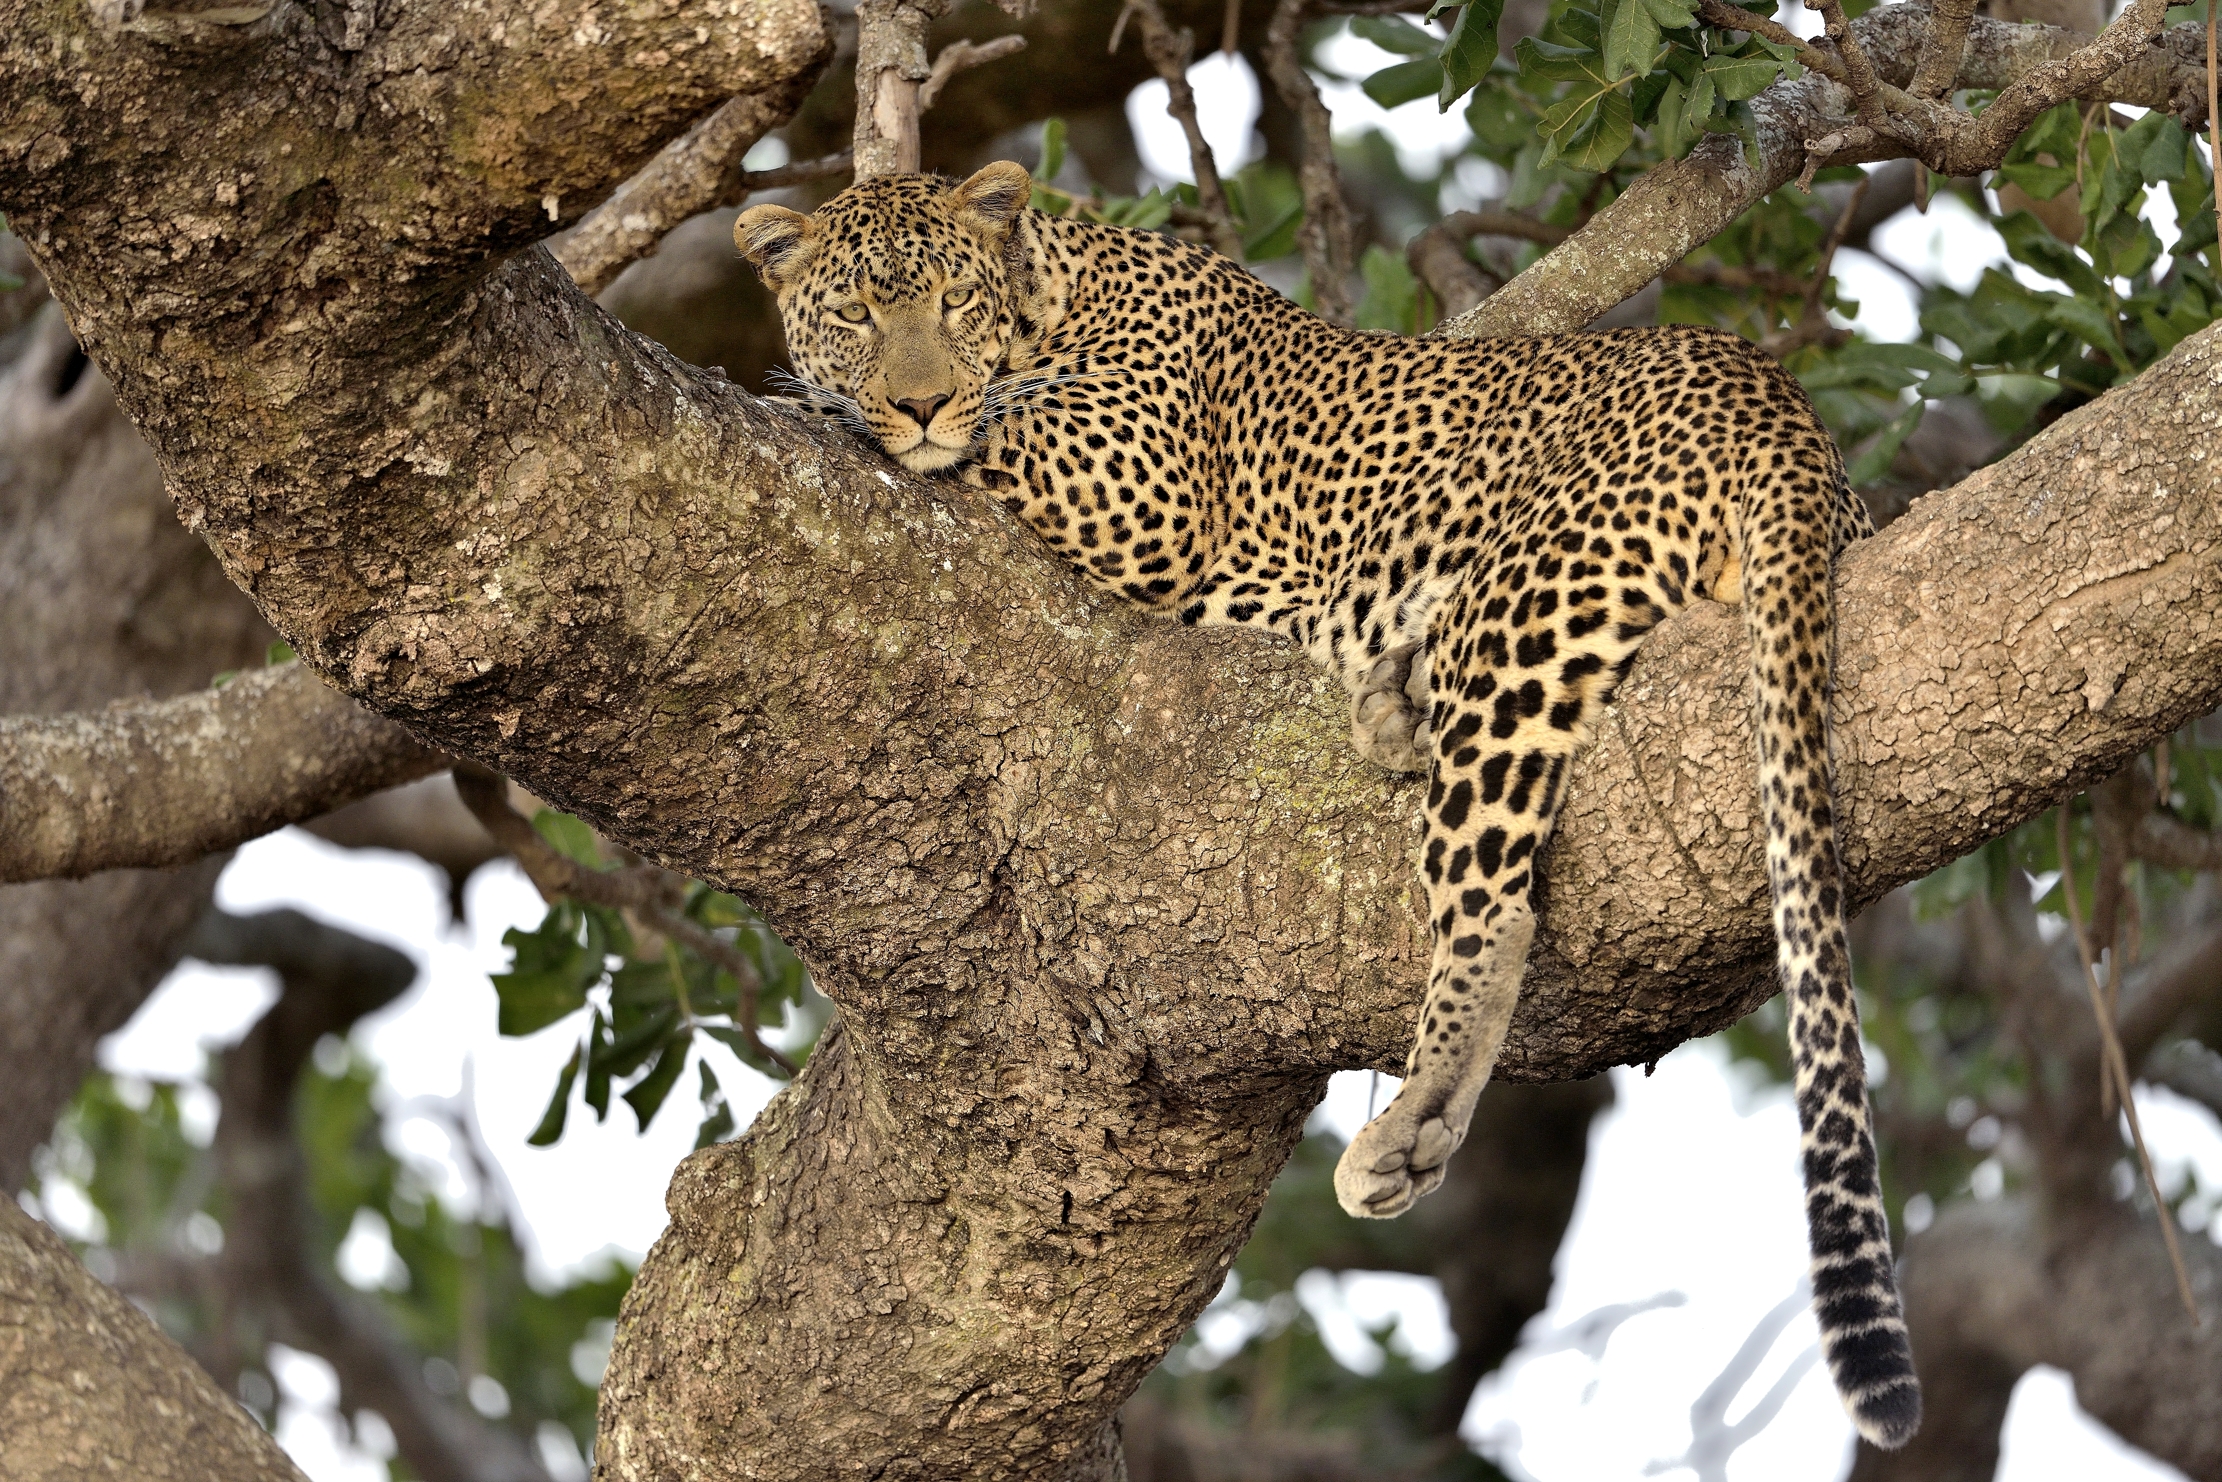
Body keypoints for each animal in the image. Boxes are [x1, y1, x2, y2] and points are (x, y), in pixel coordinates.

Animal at [735, 161, 1921, 1449]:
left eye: (953, 303)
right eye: (855, 314)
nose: (916, 400)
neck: (1056, 285)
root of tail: (1777, 402)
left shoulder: (1133, 484)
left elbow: (991, 430)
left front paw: (833, 411)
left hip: (1521, 614)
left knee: (1492, 902)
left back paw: (1408, 1124)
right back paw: (1388, 697)